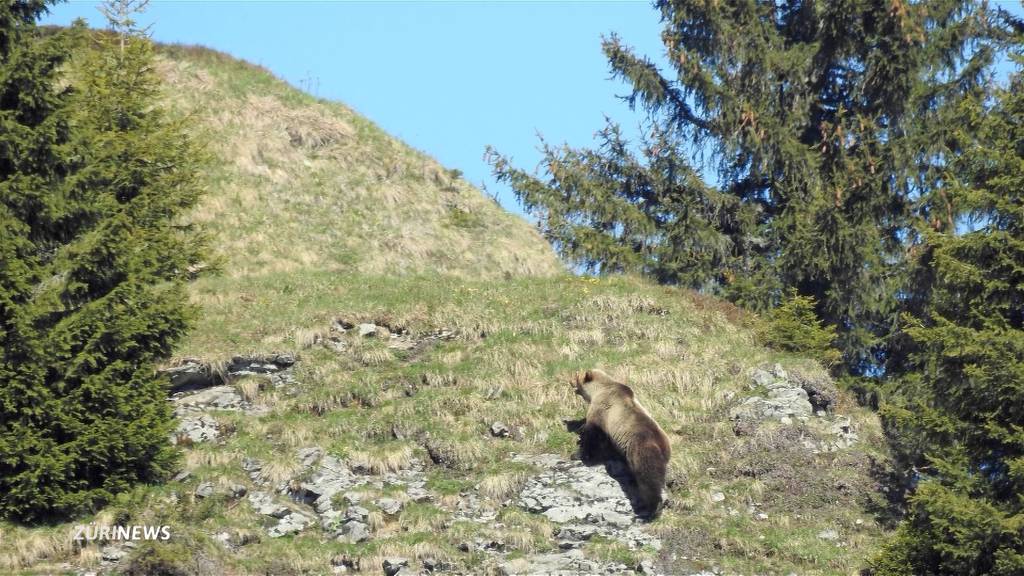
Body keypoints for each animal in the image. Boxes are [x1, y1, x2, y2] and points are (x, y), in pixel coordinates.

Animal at [573, 366, 667, 516]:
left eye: (576, 376)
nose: (570, 381)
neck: (598, 390)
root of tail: (661, 446)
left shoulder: (601, 411)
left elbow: (592, 434)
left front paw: (580, 452)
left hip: (640, 452)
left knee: (649, 480)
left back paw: (649, 508)